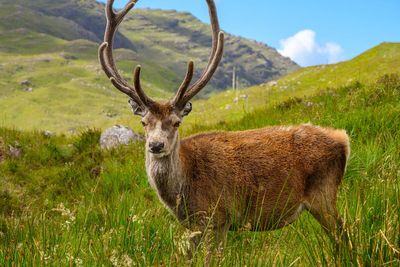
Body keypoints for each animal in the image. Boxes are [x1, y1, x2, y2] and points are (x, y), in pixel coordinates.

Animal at [99, 0, 350, 255]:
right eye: (143, 123)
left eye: (177, 122)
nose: (156, 145)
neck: (184, 190)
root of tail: (343, 140)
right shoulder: (195, 227)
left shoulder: (218, 216)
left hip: (323, 194)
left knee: (345, 237)